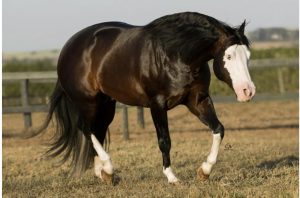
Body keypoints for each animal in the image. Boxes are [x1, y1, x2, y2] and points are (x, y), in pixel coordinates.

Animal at [35, 11, 255, 183]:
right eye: (228, 57)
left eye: (248, 56)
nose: (247, 91)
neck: (176, 54)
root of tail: (68, 47)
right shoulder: (157, 104)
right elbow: (164, 140)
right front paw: (172, 177)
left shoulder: (197, 100)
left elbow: (218, 129)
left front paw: (205, 171)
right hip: (89, 103)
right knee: (86, 129)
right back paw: (108, 168)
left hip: (106, 104)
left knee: (97, 131)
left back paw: (104, 173)